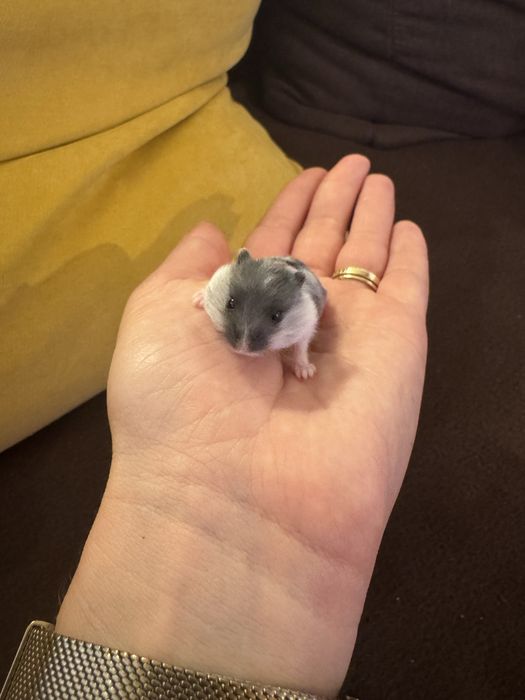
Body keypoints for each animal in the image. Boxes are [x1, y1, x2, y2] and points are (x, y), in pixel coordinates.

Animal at [192, 248, 327, 379]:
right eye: (230, 302)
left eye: (277, 316)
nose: (242, 350)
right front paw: (196, 300)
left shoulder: (306, 328)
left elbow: (301, 349)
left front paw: (306, 374)